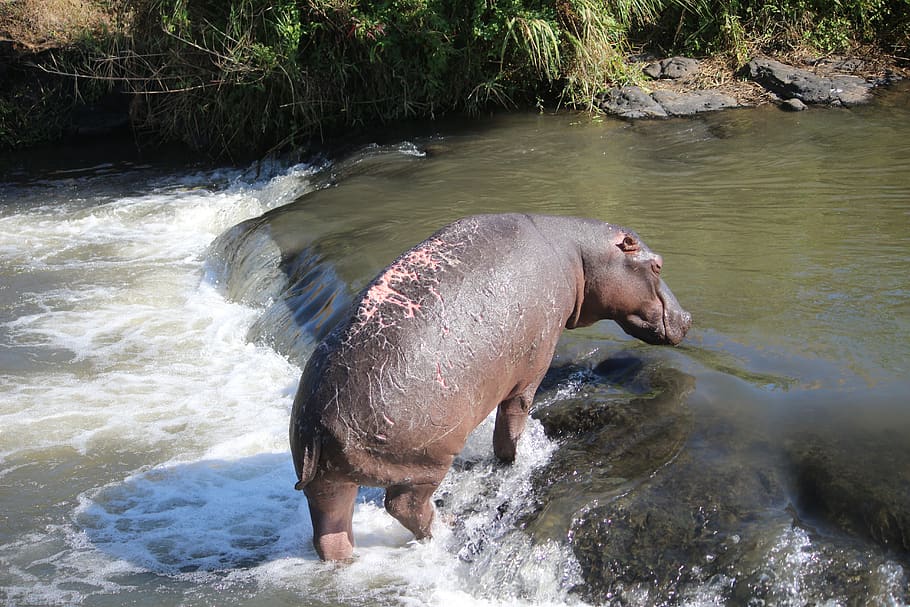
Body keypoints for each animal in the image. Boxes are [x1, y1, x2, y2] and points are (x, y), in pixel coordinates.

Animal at [290, 213, 691, 560]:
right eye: (657, 265)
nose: (688, 318)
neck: (580, 254)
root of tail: (318, 421)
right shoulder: (532, 369)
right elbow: (513, 421)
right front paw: (514, 459)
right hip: (425, 462)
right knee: (404, 506)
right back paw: (448, 527)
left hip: (326, 482)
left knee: (330, 534)